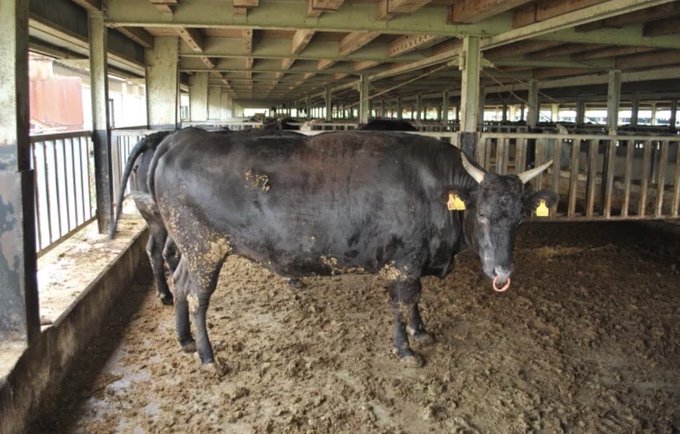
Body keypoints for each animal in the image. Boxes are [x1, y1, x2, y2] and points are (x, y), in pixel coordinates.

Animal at [147, 128, 558, 371]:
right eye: (483, 214)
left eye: (520, 218)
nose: (502, 272)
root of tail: (181, 137)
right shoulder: (404, 261)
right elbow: (402, 302)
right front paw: (406, 349)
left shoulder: (410, 262)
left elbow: (414, 300)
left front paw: (421, 331)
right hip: (204, 248)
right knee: (198, 296)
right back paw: (207, 356)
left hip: (190, 249)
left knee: (181, 284)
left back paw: (185, 340)